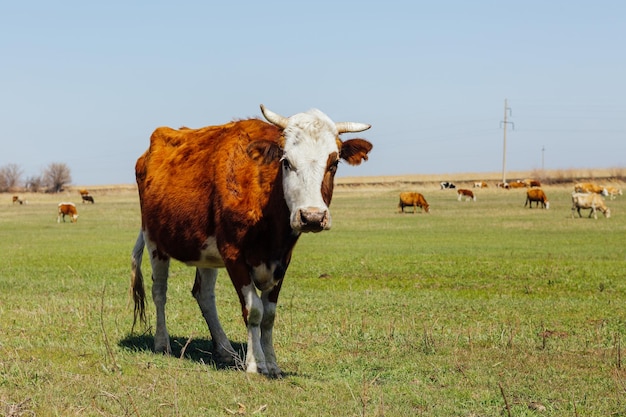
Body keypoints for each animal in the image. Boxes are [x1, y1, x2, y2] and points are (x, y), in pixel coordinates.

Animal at [127, 105, 370, 376]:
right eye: (286, 162)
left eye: (334, 163)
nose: (312, 217)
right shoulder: (233, 255)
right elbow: (253, 310)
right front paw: (256, 363)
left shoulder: (282, 259)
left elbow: (269, 315)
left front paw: (272, 363)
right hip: (155, 241)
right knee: (159, 291)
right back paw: (162, 343)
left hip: (205, 253)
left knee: (204, 295)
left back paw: (225, 349)